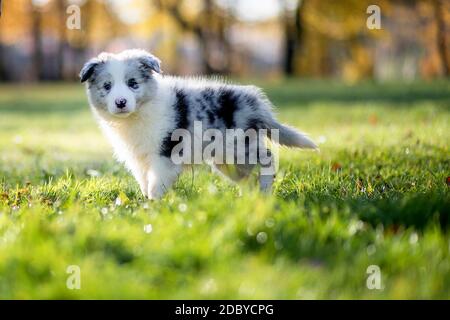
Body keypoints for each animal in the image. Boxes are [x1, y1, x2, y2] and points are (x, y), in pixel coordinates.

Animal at [80, 48, 316, 199]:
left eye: (133, 83)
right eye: (107, 86)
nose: (120, 102)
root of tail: (255, 102)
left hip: (240, 147)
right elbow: (144, 182)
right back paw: (248, 198)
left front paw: (154, 206)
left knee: (267, 158)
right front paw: (146, 202)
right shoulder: (138, 158)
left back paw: (265, 190)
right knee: (248, 177)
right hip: (226, 159)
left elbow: (157, 183)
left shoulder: (165, 154)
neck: (137, 115)